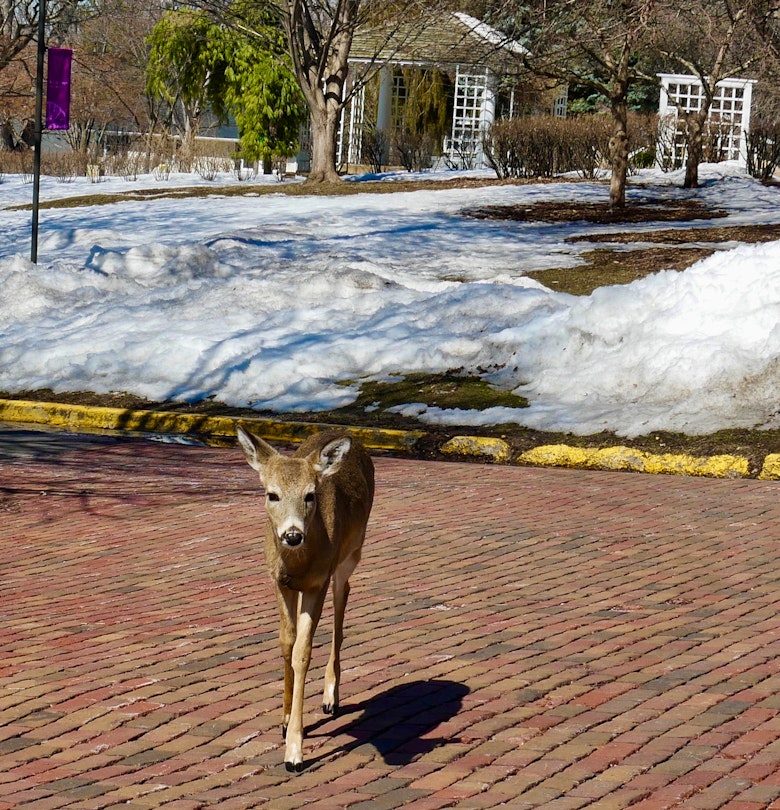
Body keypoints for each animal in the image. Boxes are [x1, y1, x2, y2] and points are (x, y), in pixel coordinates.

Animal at [235, 422, 374, 772]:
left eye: (310, 495)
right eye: (272, 494)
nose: (292, 534)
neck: (298, 563)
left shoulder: (316, 584)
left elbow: (303, 652)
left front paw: (294, 752)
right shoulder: (279, 581)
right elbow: (286, 642)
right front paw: (284, 722)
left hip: (351, 553)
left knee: (342, 603)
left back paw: (330, 697)